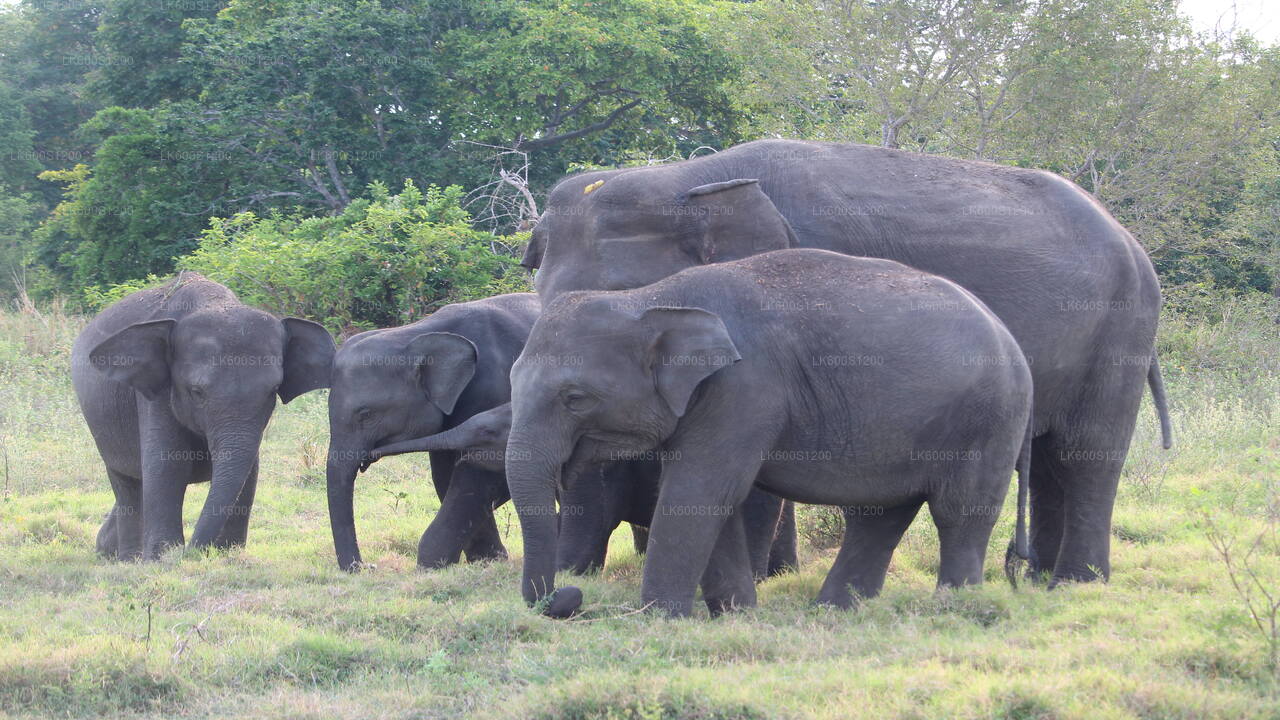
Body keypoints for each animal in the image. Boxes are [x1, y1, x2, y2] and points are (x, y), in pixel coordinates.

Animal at [72, 272, 335, 561]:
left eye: (273, 390)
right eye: (196, 391)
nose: (191, 551)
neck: (214, 302)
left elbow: (250, 470)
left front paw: (227, 554)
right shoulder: (156, 391)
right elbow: (168, 462)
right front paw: (163, 558)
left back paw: (108, 548)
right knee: (126, 484)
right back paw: (128, 558)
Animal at [324, 293, 540, 572]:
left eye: (366, 414)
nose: (367, 567)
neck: (413, 334)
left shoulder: (498, 388)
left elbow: (482, 470)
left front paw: (433, 563)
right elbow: (445, 474)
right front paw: (485, 561)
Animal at [506, 249, 1033, 618]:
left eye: (575, 398)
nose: (569, 595)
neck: (652, 299)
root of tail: (1009, 337)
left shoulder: (745, 387)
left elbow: (700, 489)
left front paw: (659, 617)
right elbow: (708, 496)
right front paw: (735, 614)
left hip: (990, 417)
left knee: (960, 512)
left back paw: (957, 609)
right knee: (880, 514)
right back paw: (834, 612)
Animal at [521, 138, 1170, 587]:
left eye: (621, 292)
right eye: (539, 290)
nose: (569, 587)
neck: (690, 179)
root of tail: (1130, 239)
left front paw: (758, 579)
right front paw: (773, 576)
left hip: (1123, 325)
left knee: (1089, 453)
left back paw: (1075, 583)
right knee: (1053, 457)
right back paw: (1039, 579)